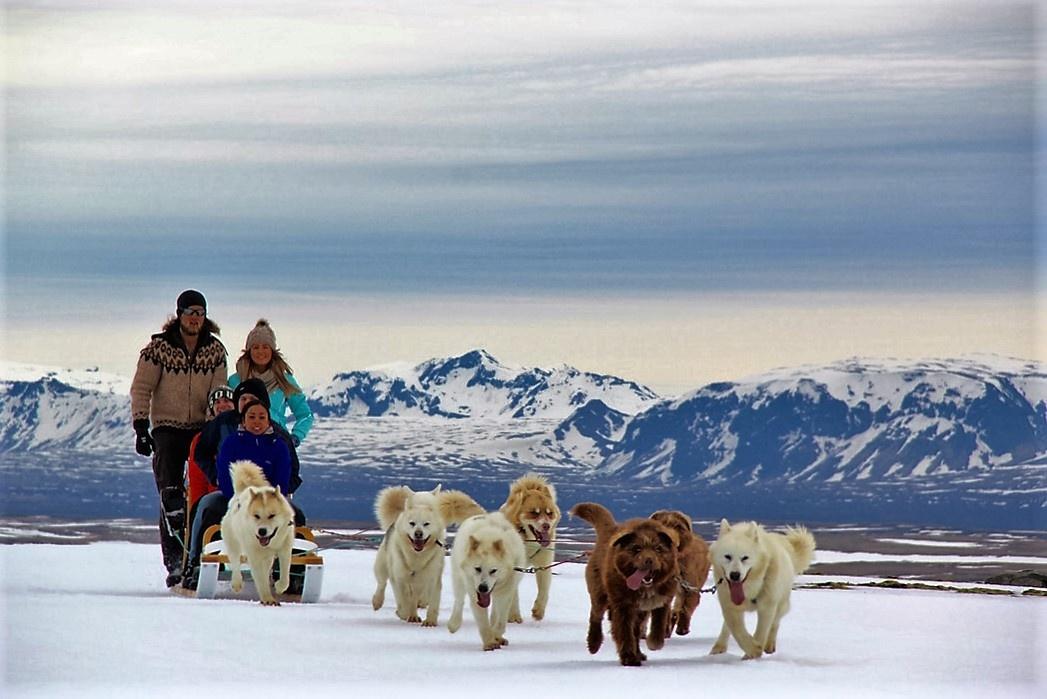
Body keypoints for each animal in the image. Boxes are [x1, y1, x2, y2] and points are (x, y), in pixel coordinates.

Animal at [219, 460, 297, 602]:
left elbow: (285, 574)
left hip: (268, 558)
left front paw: (280, 587)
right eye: (256, 516)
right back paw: (237, 583)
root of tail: (241, 492)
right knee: (235, 562)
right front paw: (267, 599)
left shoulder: (285, 550)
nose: (262, 531)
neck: (271, 543)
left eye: (272, 515)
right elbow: (260, 580)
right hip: (233, 543)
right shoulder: (255, 556)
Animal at [372, 485, 481, 627]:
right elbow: (403, 601)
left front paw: (430, 621)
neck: (417, 557)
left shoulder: (433, 577)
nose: (418, 534)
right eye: (412, 523)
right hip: (382, 566)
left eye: (426, 524)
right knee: (382, 583)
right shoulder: (399, 578)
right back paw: (379, 601)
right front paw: (403, 613)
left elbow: (433, 601)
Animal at [500, 472, 561, 619]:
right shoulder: (514, 568)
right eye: (534, 512)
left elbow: (544, 591)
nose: (546, 525)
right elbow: (513, 596)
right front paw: (514, 616)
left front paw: (539, 610)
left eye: (549, 513)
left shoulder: (544, 565)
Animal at [573, 502, 678, 665]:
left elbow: (658, 627)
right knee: (595, 615)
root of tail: (610, 529)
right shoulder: (623, 606)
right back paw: (594, 643)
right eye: (637, 548)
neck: (645, 587)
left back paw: (639, 653)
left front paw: (652, 643)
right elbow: (625, 632)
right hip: (599, 593)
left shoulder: (662, 601)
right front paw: (629, 657)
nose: (649, 560)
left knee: (636, 630)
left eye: (658, 548)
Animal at [707, 519, 812, 661]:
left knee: (775, 623)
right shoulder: (729, 605)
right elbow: (737, 629)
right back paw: (718, 647)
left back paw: (769, 645)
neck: (749, 588)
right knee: (726, 627)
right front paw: (752, 649)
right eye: (727, 556)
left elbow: (761, 631)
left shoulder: (767, 606)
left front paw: (753, 653)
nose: (735, 575)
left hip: (781, 603)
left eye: (745, 558)